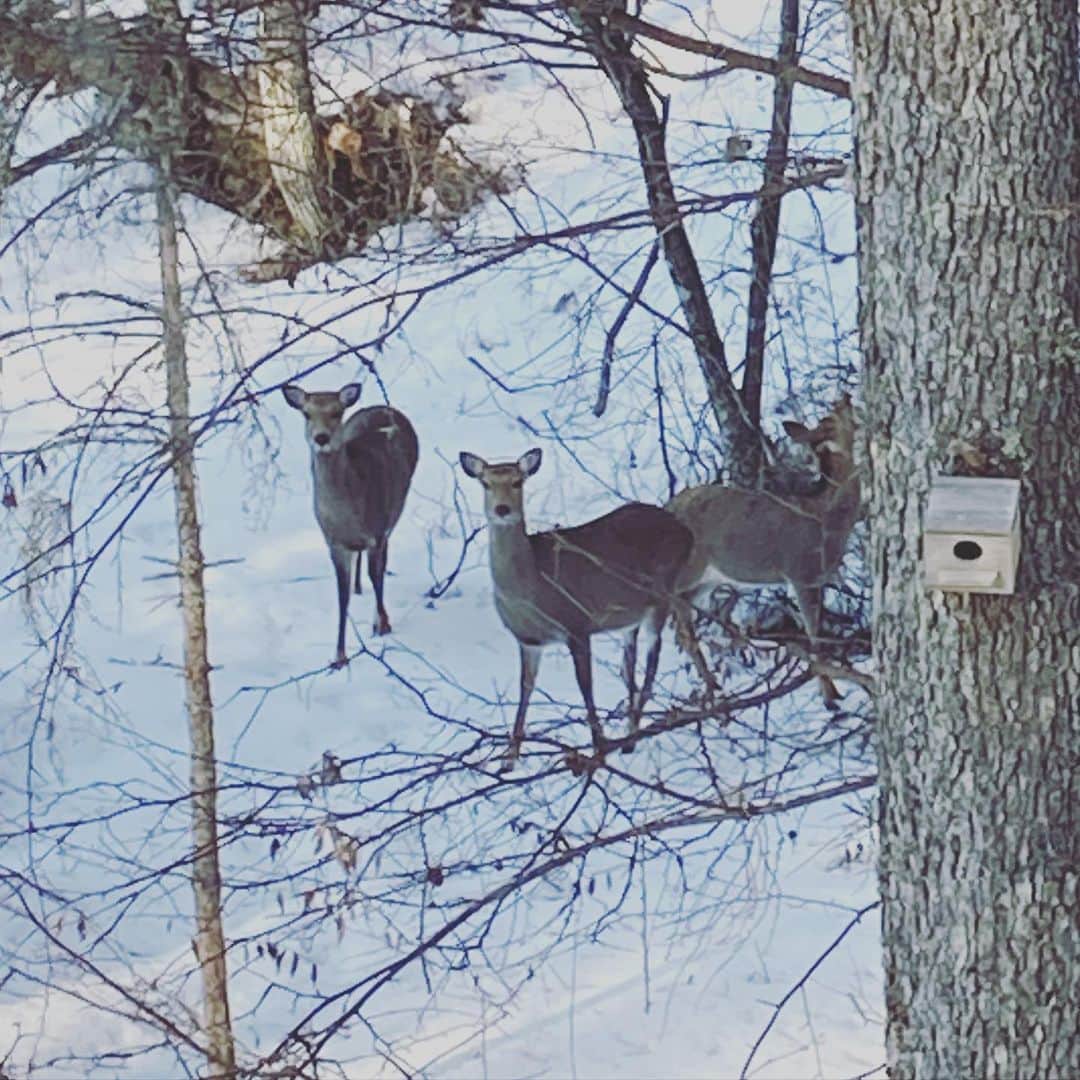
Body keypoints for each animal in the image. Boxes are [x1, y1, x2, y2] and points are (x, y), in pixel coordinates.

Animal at [282, 382, 418, 668]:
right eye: (306, 413)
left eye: (336, 412)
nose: (321, 438)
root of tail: (383, 407)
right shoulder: (333, 542)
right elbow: (341, 596)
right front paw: (339, 656)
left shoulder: (376, 531)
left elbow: (376, 575)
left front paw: (382, 625)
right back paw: (358, 589)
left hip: (392, 515)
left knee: (382, 564)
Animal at [459, 448, 693, 770]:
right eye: (486, 483)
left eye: (518, 482)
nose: (502, 509)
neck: (532, 588)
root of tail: (686, 531)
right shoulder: (528, 640)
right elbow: (525, 689)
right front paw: (509, 759)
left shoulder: (578, 624)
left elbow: (586, 686)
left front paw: (598, 749)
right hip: (630, 617)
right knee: (630, 668)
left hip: (661, 597)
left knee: (652, 663)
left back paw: (630, 741)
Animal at [666, 395, 860, 703]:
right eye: (831, 417)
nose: (845, 396)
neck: (826, 520)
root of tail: (667, 506)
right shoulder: (799, 573)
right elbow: (813, 636)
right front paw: (830, 696)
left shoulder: (818, 579)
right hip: (686, 569)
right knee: (679, 621)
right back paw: (712, 689)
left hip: (707, 579)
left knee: (681, 622)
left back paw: (712, 685)